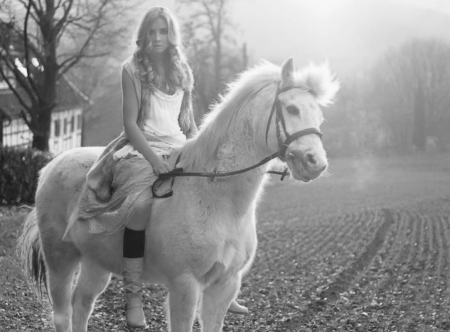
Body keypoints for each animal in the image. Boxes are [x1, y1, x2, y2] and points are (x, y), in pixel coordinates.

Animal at [18, 58, 342, 330]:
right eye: (292, 109)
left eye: (319, 115)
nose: (316, 163)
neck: (217, 198)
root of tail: (50, 166)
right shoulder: (185, 285)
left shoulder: (223, 286)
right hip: (60, 260)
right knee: (62, 314)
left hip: (96, 264)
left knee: (82, 305)